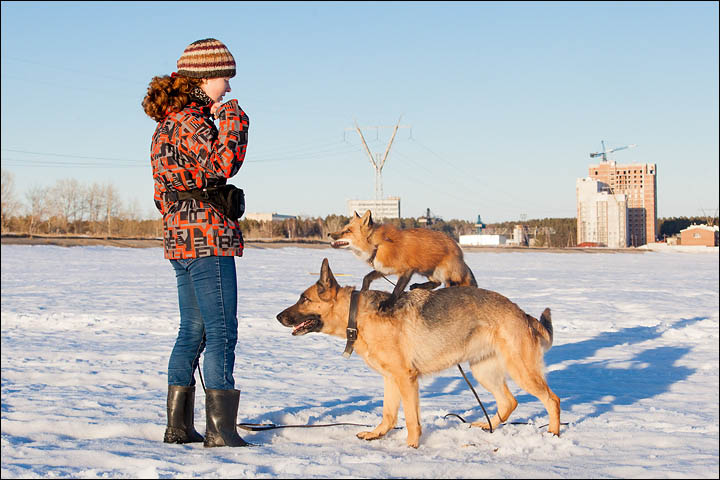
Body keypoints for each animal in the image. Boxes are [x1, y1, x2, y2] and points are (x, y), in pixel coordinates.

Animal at [278, 260, 564, 448]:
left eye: (304, 299)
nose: (278, 316)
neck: (357, 315)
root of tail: (522, 313)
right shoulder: (391, 379)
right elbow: (388, 413)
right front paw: (378, 434)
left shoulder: (406, 379)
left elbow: (411, 418)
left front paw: (411, 446)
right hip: (483, 371)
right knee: (509, 402)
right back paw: (487, 426)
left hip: (520, 371)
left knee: (552, 399)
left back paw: (552, 433)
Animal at [328, 211, 476, 312]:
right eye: (343, 228)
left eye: (347, 231)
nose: (329, 234)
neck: (378, 245)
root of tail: (460, 252)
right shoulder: (384, 268)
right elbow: (367, 277)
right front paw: (363, 291)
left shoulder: (407, 270)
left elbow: (397, 289)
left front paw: (388, 303)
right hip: (427, 271)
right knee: (436, 282)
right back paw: (418, 286)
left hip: (442, 271)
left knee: (447, 283)